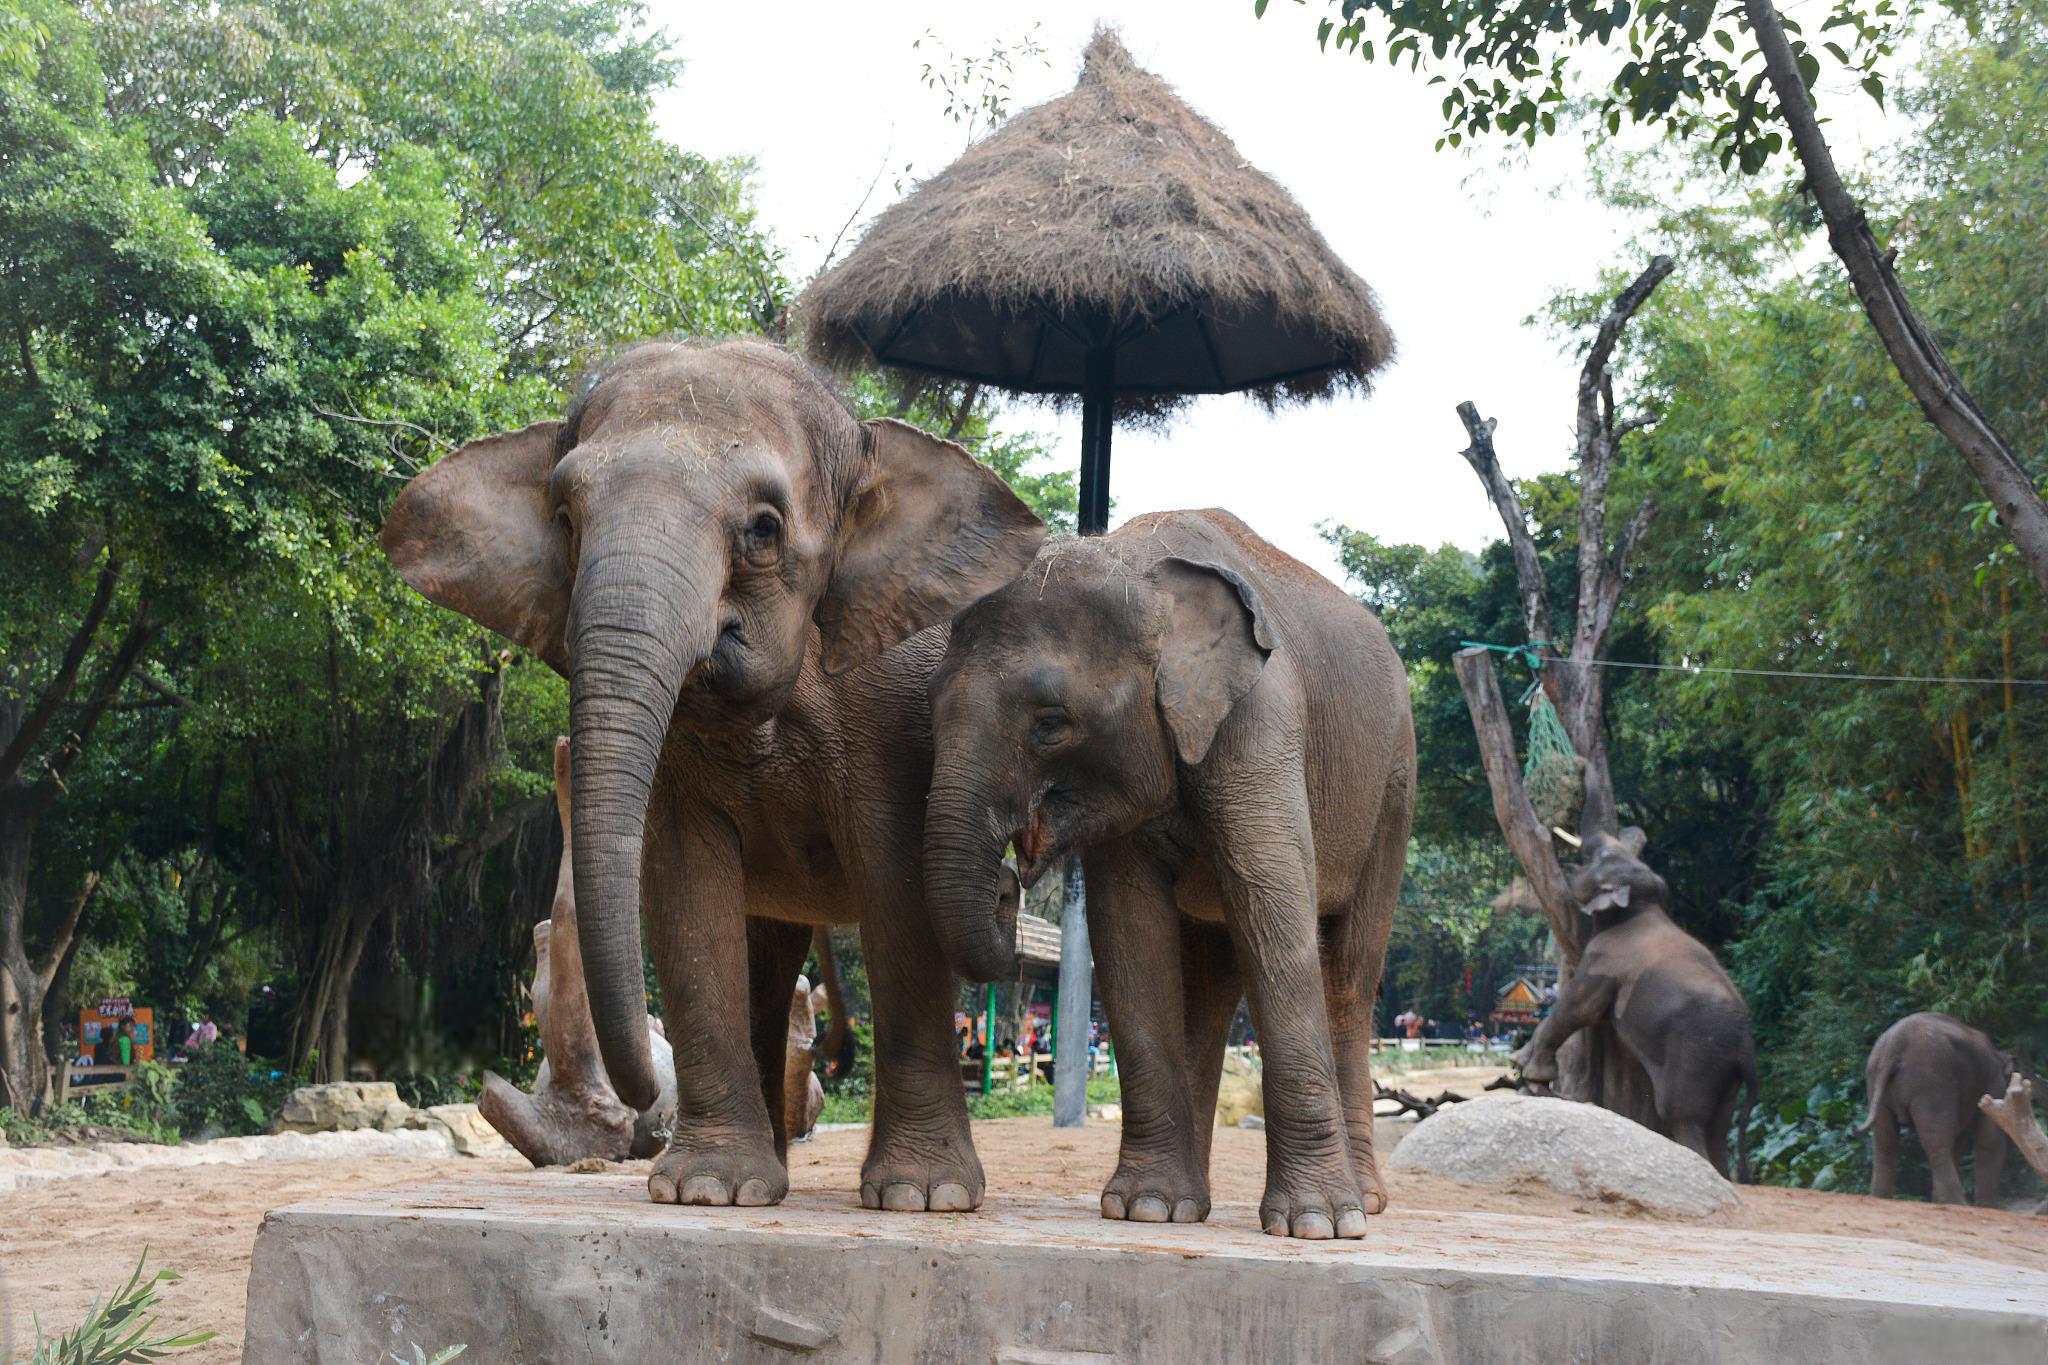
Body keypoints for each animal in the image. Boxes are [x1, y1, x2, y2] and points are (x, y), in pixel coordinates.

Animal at [385, 339, 1048, 1203]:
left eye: (763, 530)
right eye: (565, 520)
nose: (642, 1103)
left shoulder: (891, 708)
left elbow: (898, 890)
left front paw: (921, 1197)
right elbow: (687, 886)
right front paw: (707, 1189)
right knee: (767, 959)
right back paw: (770, 1174)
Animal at [925, 509, 1417, 1236]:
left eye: (1051, 722)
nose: (1011, 878)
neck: (1134, 560)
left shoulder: (1261, 719)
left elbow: (1275, 915)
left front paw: (1318, 1224)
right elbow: (1130, 937)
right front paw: (1146, 1208)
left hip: (1393, 791)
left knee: (1351, 973)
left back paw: (1369, 1203)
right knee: (1210, 986)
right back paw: (1191, 1205)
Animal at [1507, 826, 1761, 1178]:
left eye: (1602, 857)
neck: (1640, 905)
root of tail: (1747, 1050)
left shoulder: (1604, 961)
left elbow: (1579, 1009)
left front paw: (1529, 1073)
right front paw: (1522, 1061)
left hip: (1696, 1058)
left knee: (1683, 1116)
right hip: (1726, 1077)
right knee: (1719, 1129)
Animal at [1867, 1010, 2023, 1203]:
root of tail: (1894, 1045)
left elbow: (1960, 1139)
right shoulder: (1993, 1083)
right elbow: (1990, 1140)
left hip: (1876, 1082)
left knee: (1885, 1141)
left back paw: (1881, 1198)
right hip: (1931, 1081)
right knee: (1936, 1141)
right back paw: (1957, 1203)